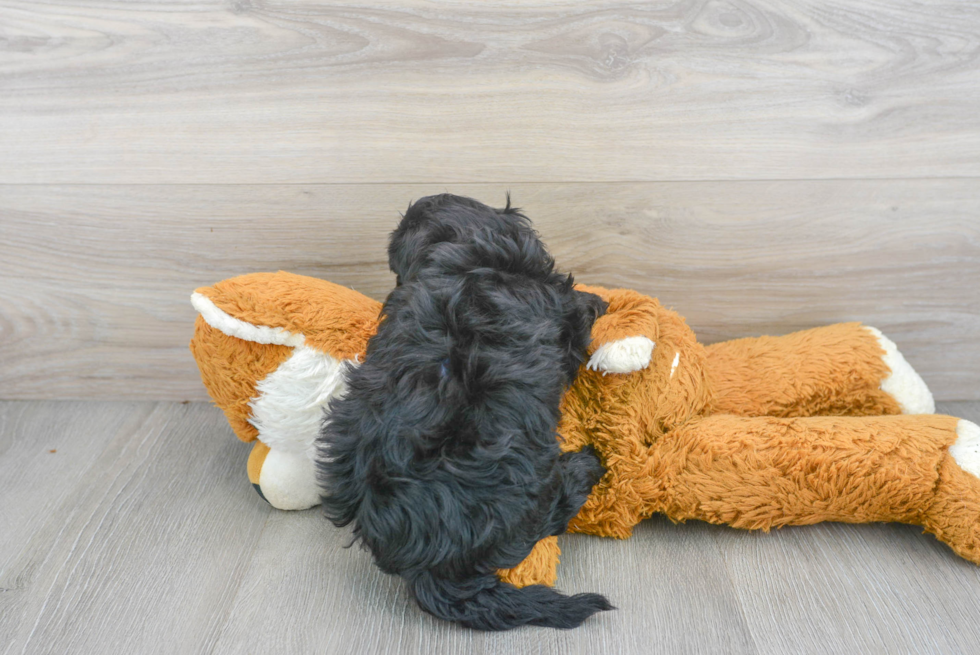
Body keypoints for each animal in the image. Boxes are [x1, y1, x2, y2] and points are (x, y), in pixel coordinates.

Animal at [320, 195, 612, 632]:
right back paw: (584, 467)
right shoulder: (560, 313)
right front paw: (600, 301)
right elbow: (578, 314)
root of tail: (424, 564)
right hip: (524, 478)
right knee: (545, 516)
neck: (464, 256)